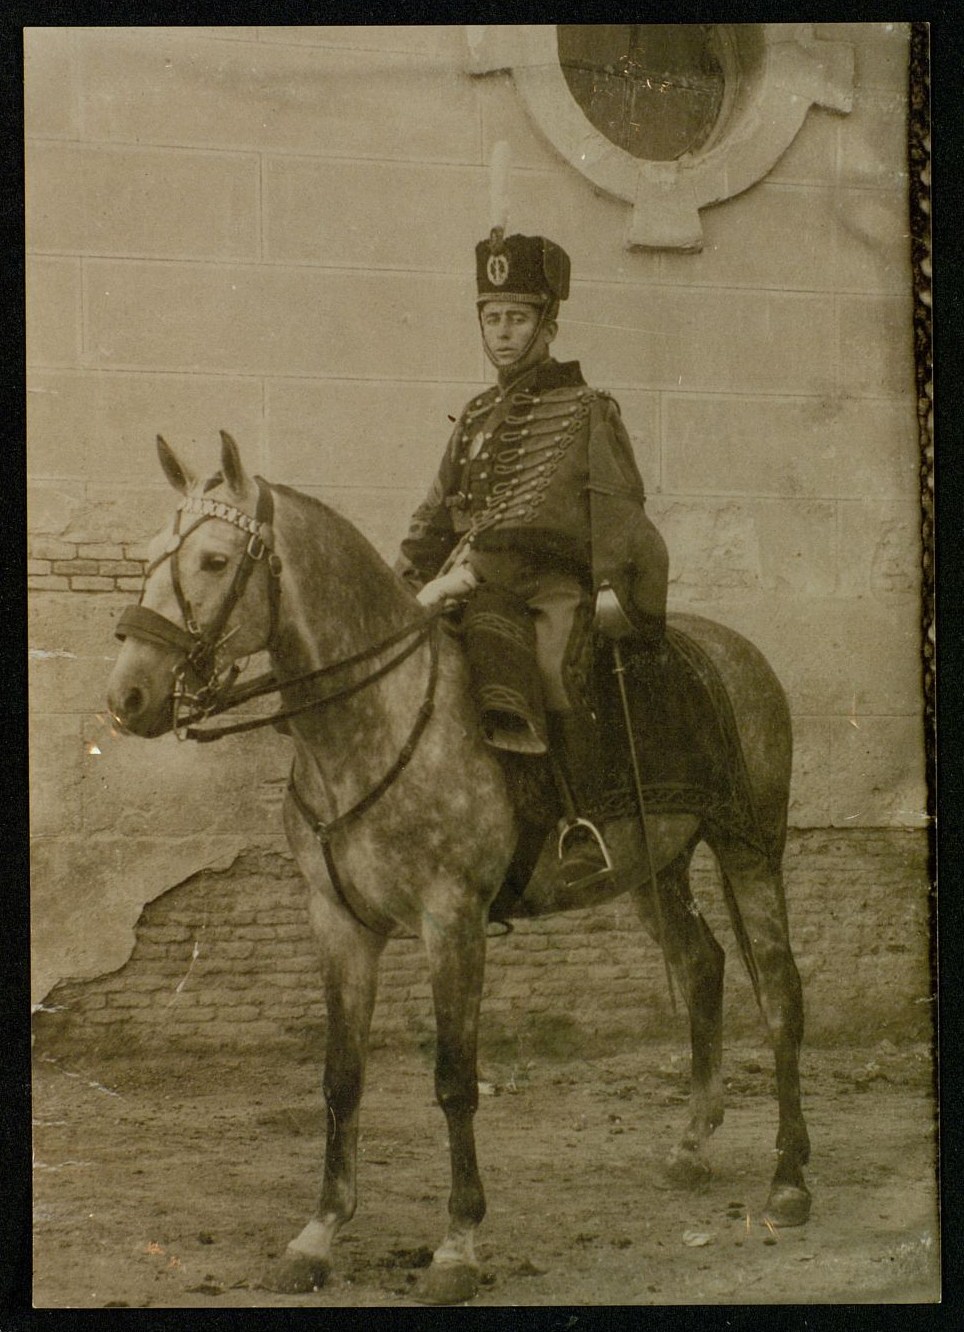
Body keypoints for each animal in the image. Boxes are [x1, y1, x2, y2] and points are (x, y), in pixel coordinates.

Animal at [107, 434, 814, 1300]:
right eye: (149, 554)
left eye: (212, 560)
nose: (128, 696)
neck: (374, 721)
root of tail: (731, 652)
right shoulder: (339, 924)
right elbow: (341, 1076)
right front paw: (320, 1233)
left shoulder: (453, 921)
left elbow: (453, 1078)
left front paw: (459, 1243)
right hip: (655, 867)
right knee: (703, 963)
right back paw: (692, 1145)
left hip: (749, 847)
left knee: (778, 991)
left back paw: (789, 1177)